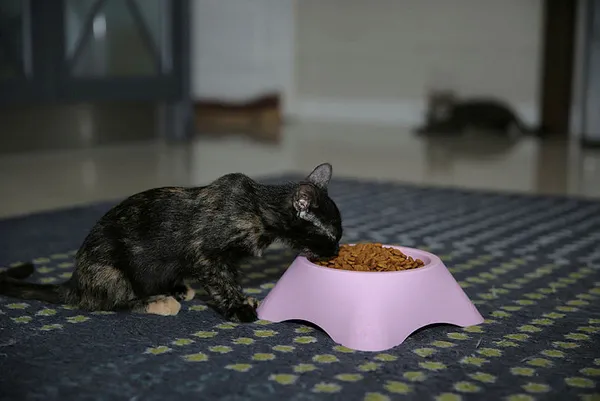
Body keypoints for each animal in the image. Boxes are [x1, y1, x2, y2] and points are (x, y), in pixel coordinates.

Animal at [0, 163, 343, 323]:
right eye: (331, 235)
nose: (337, 249)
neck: (258, 209)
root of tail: (76, 281)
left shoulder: (226, 261)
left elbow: (232, 279)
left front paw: (243, 299)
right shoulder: (207, 256)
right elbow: (222, 284)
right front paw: (238, 309)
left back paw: (176, 289)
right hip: (110, 270)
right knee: (110, 302)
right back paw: (157, 302)